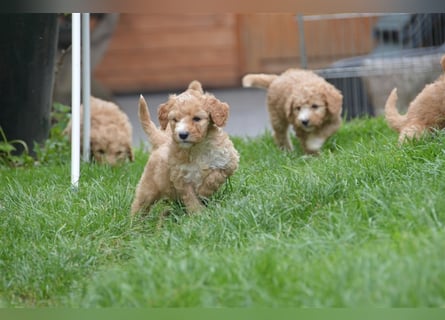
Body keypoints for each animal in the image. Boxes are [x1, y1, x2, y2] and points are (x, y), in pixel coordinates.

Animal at [129, 80, 239, 216]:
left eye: (196, 118)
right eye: (175, 120)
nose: (182, 134)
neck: (196, 148)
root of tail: (161, 142)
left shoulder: (228, 162)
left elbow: (214, 176)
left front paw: (204, 191)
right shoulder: (181, 178)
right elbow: (190, 197)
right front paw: (198, 214)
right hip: (148, 188)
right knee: (139, 205)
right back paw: (134, 221)